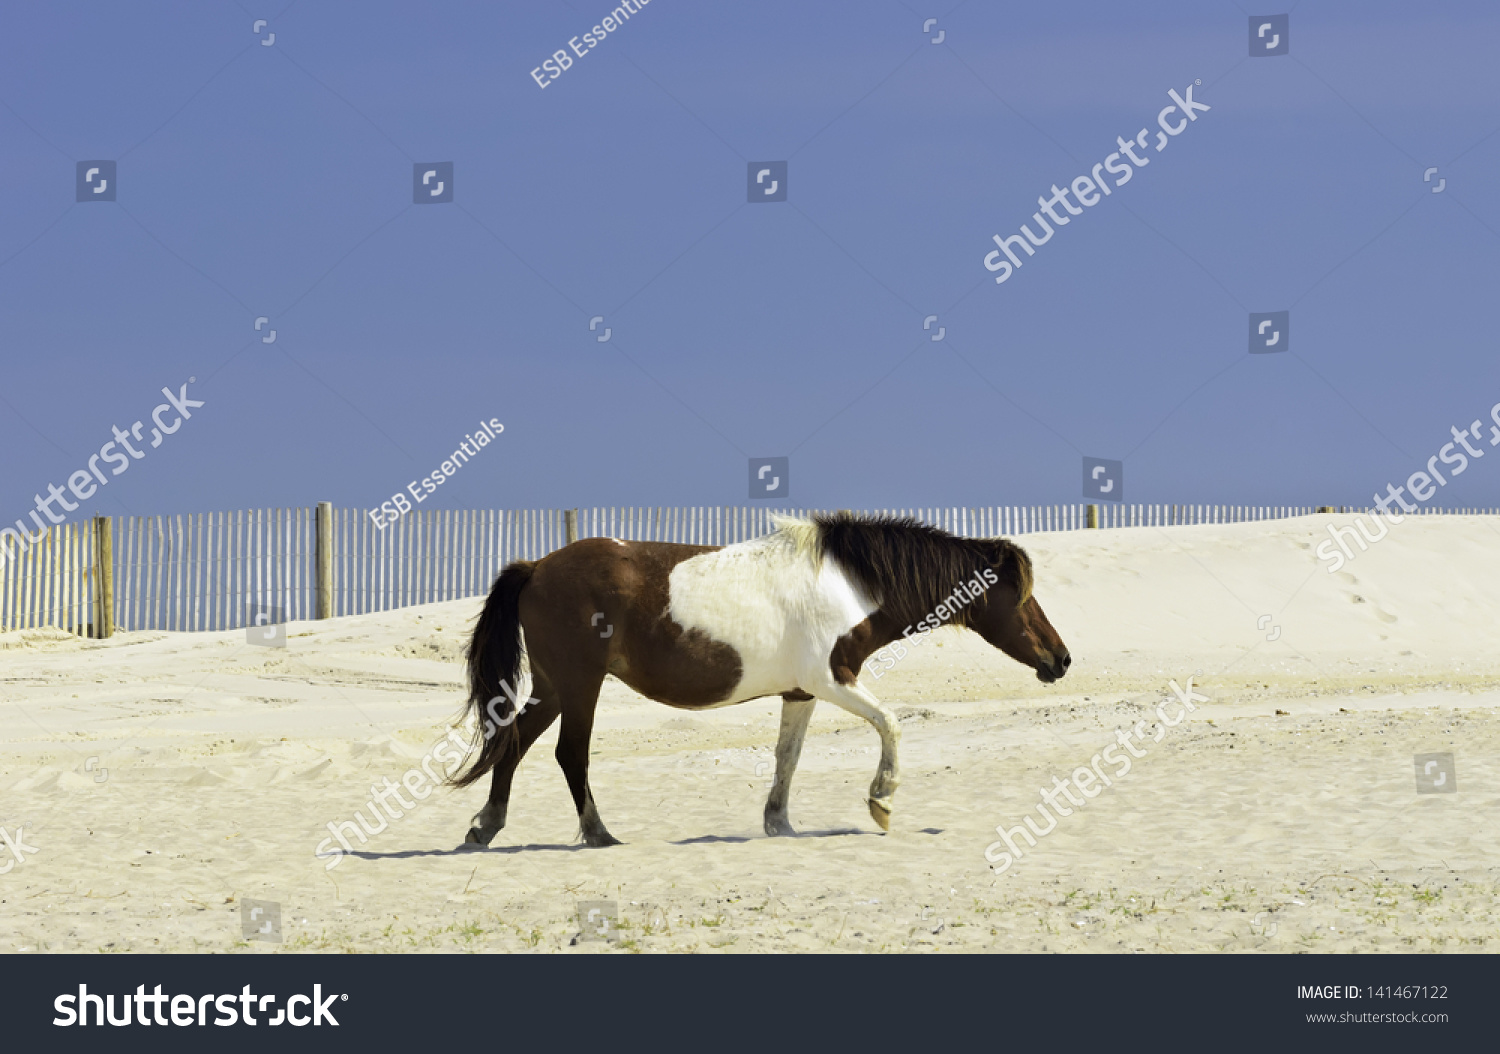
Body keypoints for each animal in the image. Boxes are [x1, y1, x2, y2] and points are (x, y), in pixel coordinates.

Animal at [444, 509, 1068, 851]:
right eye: (1022, 597)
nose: (1060, 660)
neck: (850, 582)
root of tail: (536, 567)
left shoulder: (802, 692)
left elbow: (787, 757)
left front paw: (779, 823)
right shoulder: (833, 680)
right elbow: (890, 724)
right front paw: (881, 801)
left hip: (553, 687)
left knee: (513, 744)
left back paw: (486, 827)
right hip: (581, 686)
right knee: (569, 754)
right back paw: (597, 834)